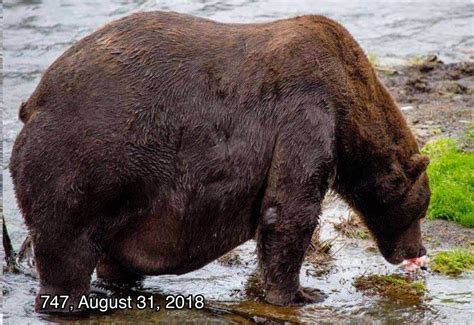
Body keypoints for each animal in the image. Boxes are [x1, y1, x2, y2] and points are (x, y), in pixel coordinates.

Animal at [9, 11, 432, 312]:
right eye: (421, 208)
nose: (418, 252)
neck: (350, 109)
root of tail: (34, 101)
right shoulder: (306, 112)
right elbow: (289, 209)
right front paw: (302, 293)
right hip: (83, 161)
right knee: (66, 245)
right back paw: (71, 301)